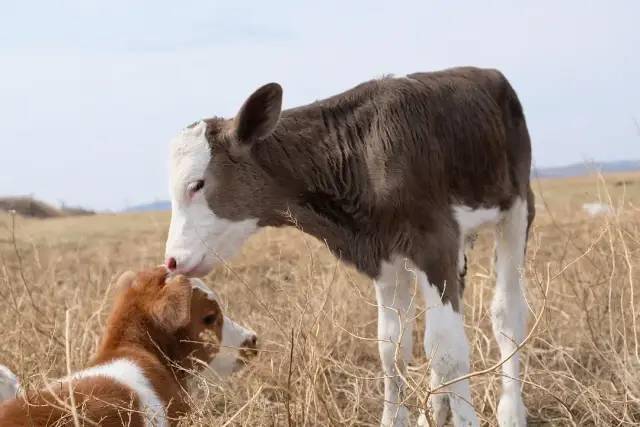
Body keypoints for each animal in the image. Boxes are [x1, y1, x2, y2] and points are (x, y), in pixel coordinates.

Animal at [164, 67, 536, 427]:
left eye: (197, 185)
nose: (172, 261)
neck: (362, 155)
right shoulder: (385, 255)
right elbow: (392, 348)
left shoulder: (434, 242)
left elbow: (446, 350)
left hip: (516, 208)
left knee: (506, 313)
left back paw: (511, 412)